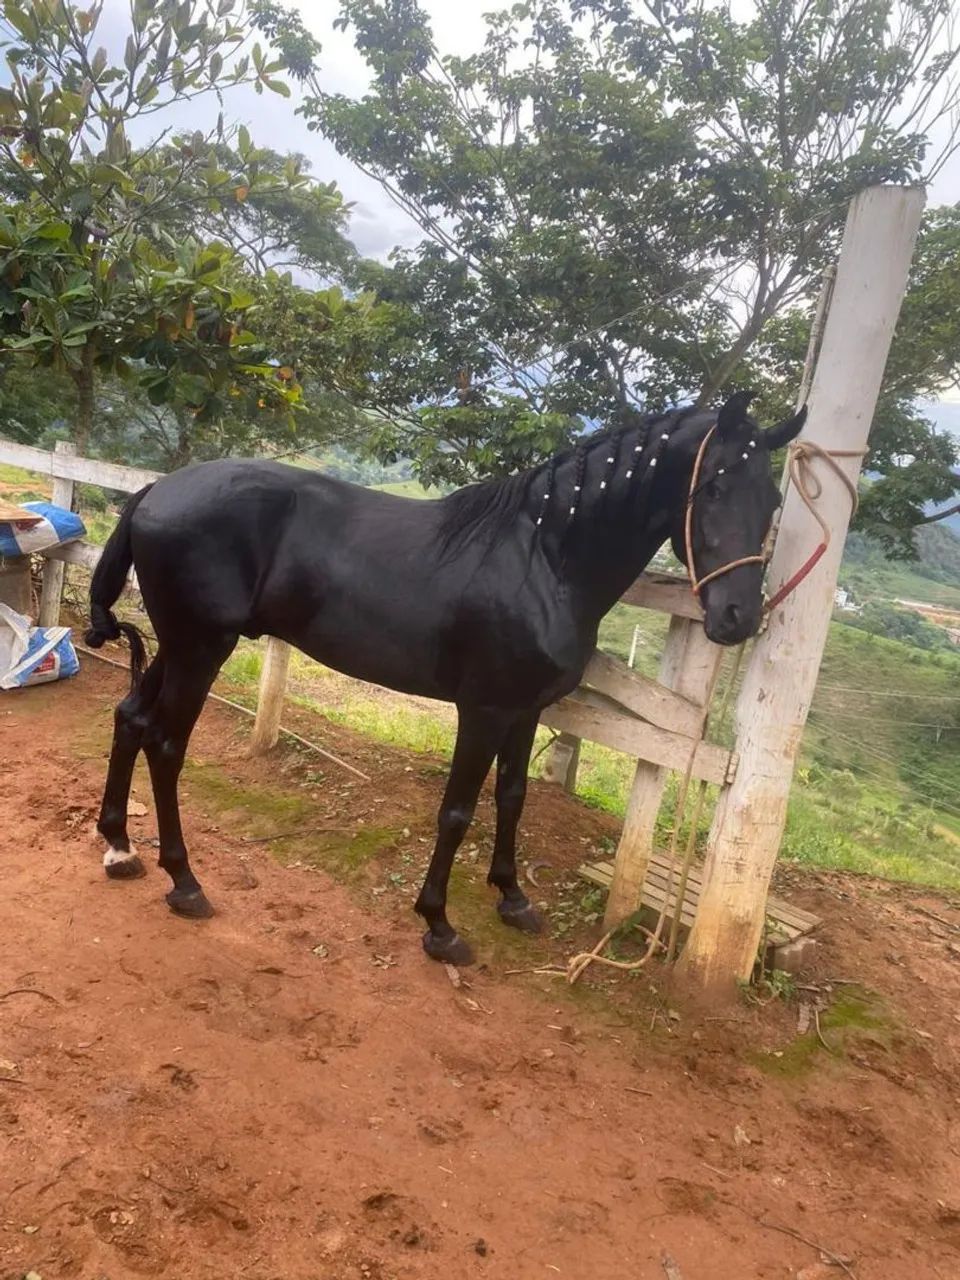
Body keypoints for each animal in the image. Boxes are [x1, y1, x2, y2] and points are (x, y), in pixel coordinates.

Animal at [85, 390, 806, 965]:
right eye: (714, 488)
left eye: (773, 500)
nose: (739, 618)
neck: (544, 558)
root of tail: (155, 491)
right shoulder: (483, 709)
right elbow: (457, 810)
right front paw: (439, 924)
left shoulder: (526, 708)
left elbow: (512, 795)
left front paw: (512, 897)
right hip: (202, 649)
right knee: (166, 745)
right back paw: (185, 882)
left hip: (182, 646)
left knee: (131, 718)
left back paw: (120, 846)